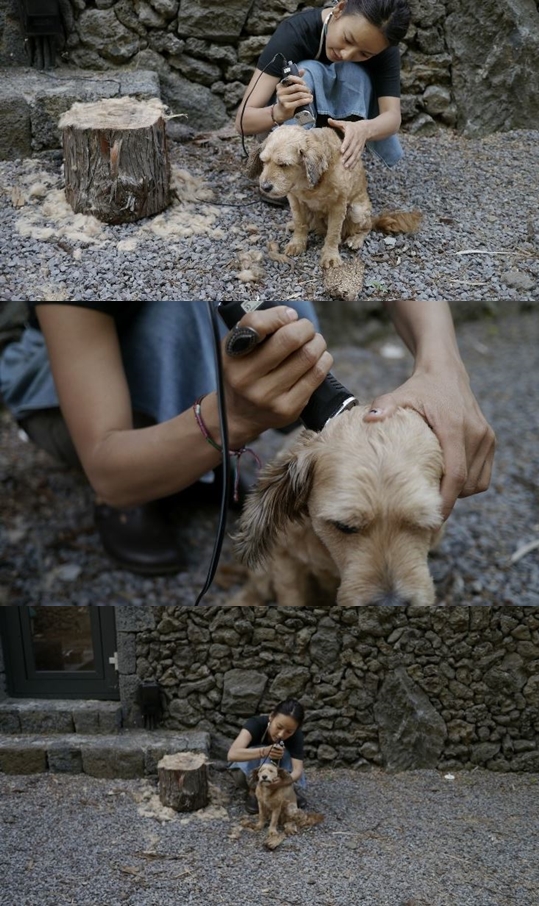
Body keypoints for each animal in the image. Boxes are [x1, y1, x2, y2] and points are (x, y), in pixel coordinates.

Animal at [248, 127, 422, 268]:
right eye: (264, 162)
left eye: (284, 164)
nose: (265, 187)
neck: (309, 183)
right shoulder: (295, 199)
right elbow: (300, 223)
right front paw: (297, 243)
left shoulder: (338, 206)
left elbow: (332, 233)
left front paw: (330, 256)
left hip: (357, 210)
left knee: (367, 226)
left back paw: (356, 239)